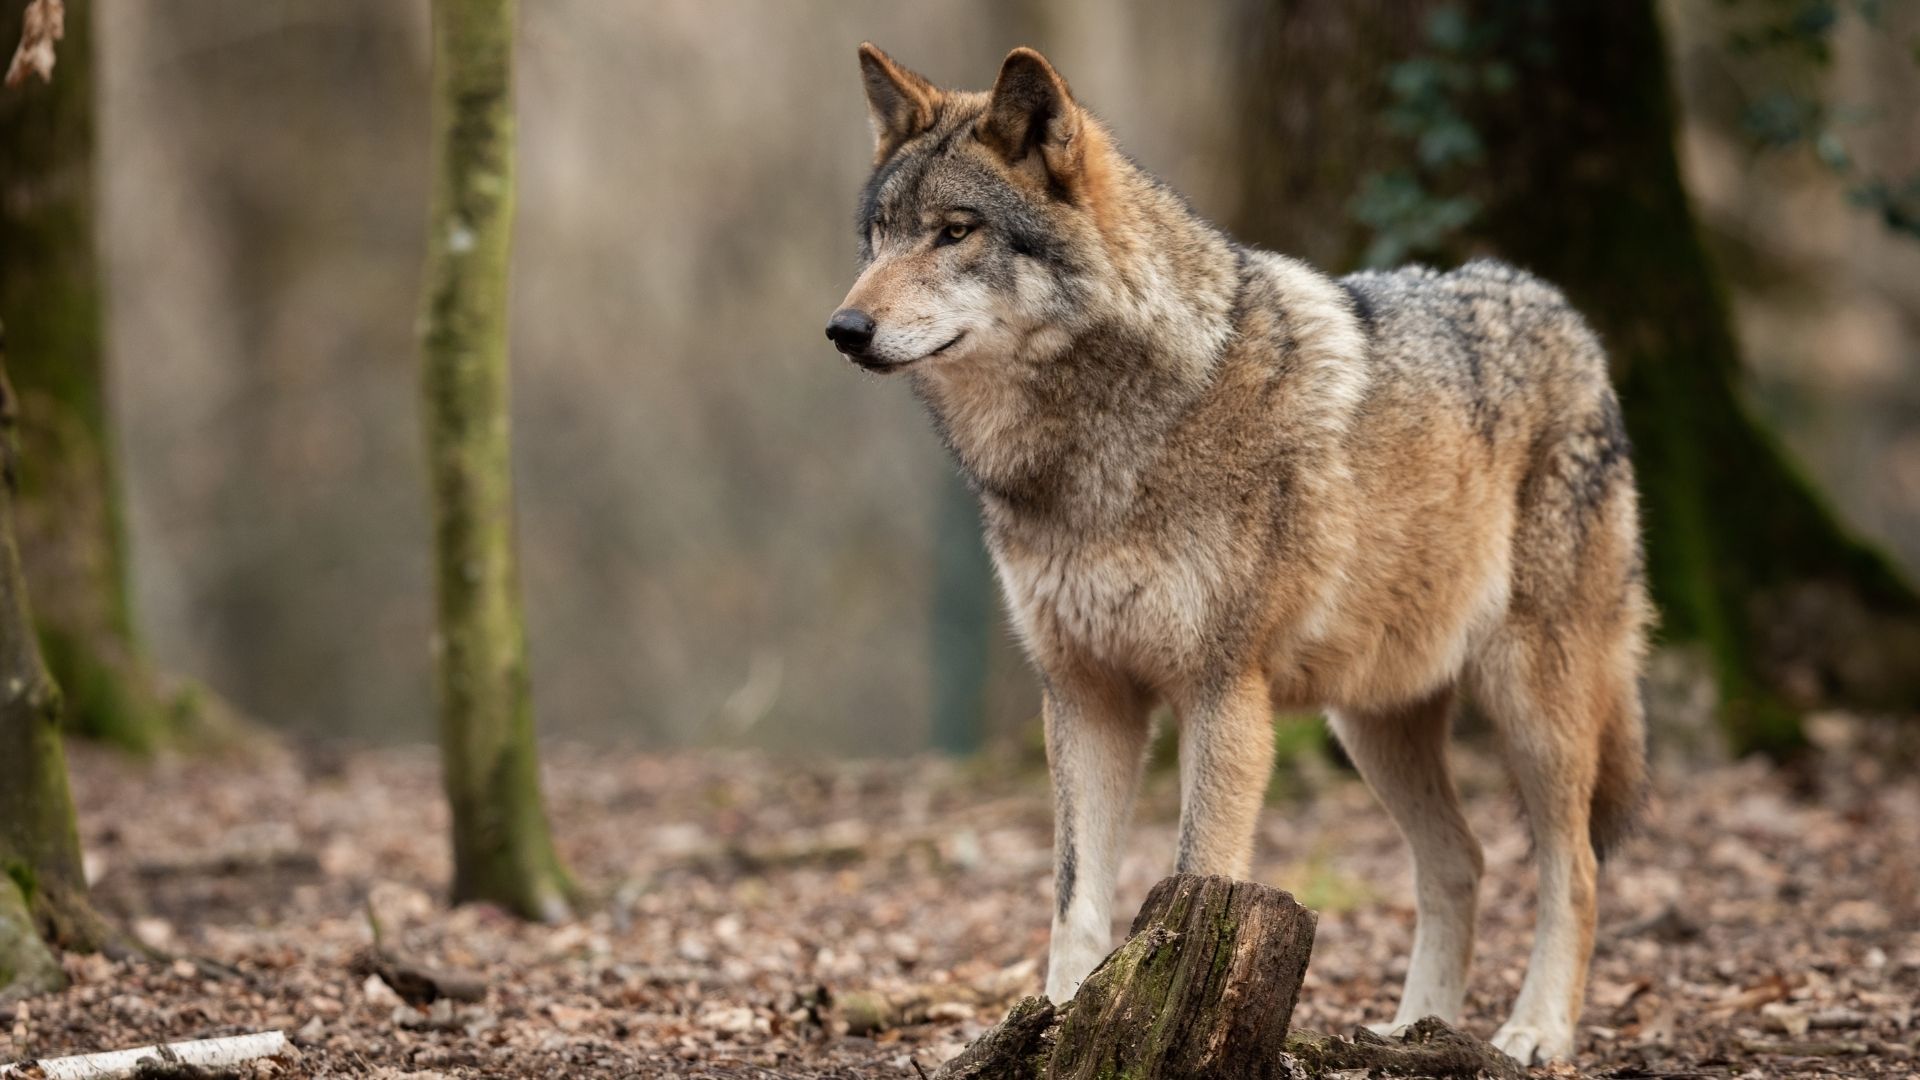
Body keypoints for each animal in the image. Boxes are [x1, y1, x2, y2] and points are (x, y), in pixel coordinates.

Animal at [826, 43, 1651, 1065]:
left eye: (954, 232)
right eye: (879, 236)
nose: (844, 330)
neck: (1094, 449)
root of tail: (1563, 311)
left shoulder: (1223, 693)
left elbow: (1195, 876)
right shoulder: (1084, 694)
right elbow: (1074, 901)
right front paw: (1057, 1025)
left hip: (1533, 706)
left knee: (1574, 868)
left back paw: (1535, 1031)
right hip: (1373, 723)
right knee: (1461, 859)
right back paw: (1413, 1029)